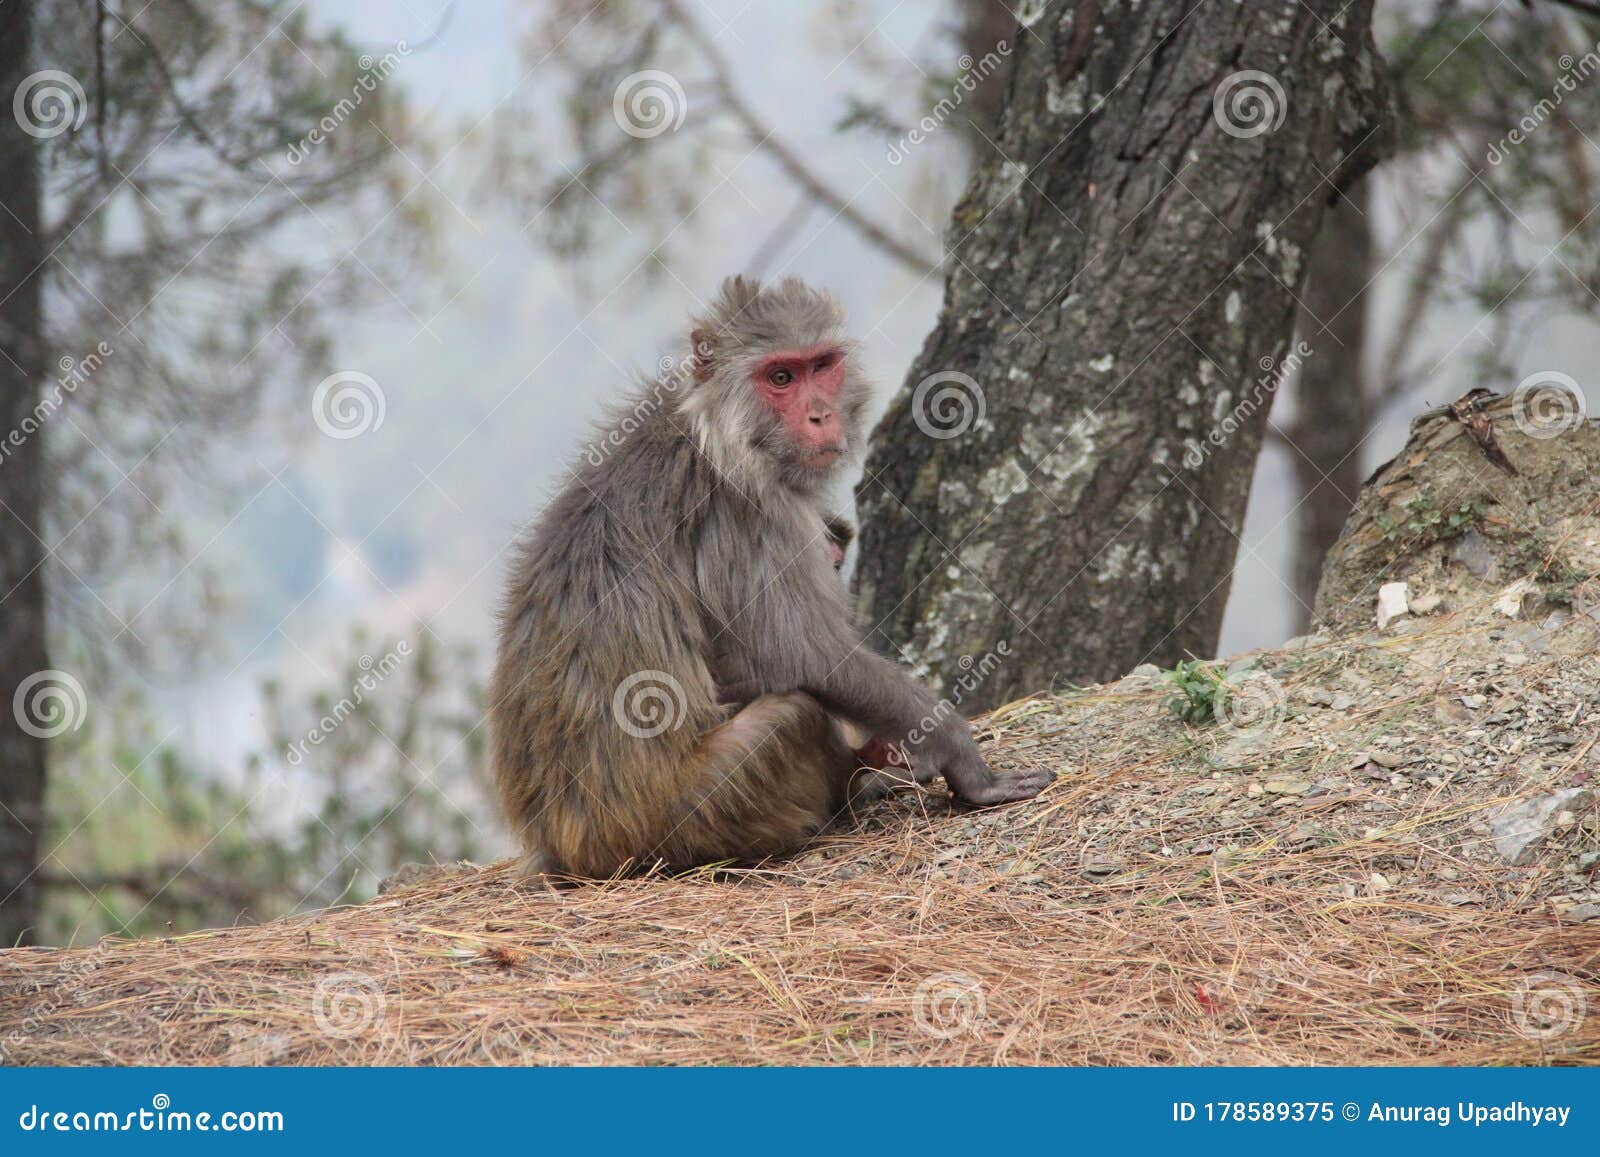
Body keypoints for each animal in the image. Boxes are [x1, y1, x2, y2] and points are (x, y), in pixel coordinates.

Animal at [489, 276, 1053, 878]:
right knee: (793, 712)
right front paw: (964, 762)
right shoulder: (751, 512)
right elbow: (802, 657)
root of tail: (564, 847)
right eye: (780, 378)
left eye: (820, 366)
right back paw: (856, 785)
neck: (717, 427)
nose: (820, 415)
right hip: (689, 815)